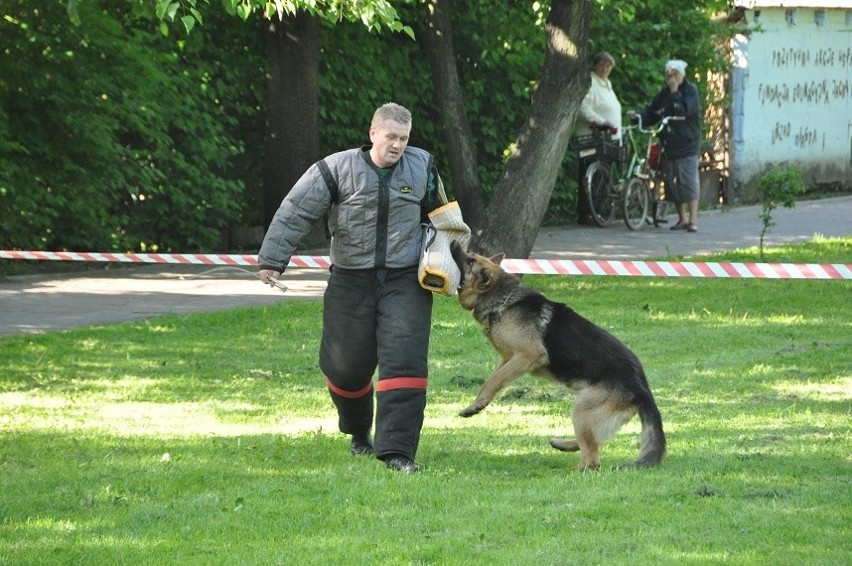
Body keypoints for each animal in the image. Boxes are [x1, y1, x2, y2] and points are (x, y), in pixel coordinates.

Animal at [450, 242, 664, 472]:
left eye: (471, 260)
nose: (454, 243)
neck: (503, 300)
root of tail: (642, 387)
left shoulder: (528, 356)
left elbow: (494, 379)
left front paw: (475, 406)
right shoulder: (508, 359)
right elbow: (492, 380)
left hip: (582, 408)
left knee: (592, 459)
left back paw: (575, 470)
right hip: (592, 413)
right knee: (592, 441)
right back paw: (564, 444)